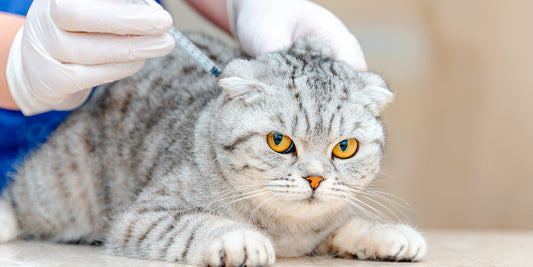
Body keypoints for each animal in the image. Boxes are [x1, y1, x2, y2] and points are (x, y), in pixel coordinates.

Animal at [0, 34, 426, 266]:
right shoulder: (141, 217)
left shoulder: (323, 227)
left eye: (345, 148)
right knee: (21, 201)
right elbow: (198, 223)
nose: (316, 179)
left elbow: (346, 224)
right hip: (60, 186)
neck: (287, 230)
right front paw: (240, 239)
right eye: (279, 142)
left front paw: (387, 235)